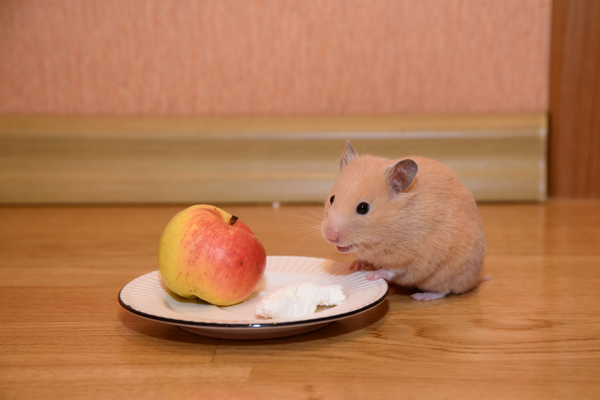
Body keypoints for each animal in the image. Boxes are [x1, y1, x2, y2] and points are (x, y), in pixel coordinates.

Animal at [322, 141, 486, 300]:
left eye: (363, 208)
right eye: (332, 199)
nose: (330, 237)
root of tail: (476, 278)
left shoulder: (413, 257)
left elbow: (391, 270)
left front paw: (372, 275)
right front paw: (354, 266)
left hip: (449, 274)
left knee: (444, 291)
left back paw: (421, 296)